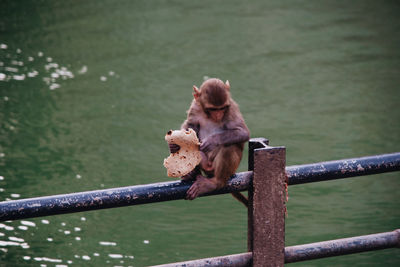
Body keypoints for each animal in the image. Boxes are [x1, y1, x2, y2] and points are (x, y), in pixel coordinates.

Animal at [169, 78, 250, 206]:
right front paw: (174, 145)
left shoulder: (231, 108)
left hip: (222, 169)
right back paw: (190, 174)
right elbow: (190, 125)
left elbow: (243, 132)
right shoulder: (195, 107)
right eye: (213, 109)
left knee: (230, 146)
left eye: (222, 108)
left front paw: (212, 141)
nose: (218, 115)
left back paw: (216, 183)